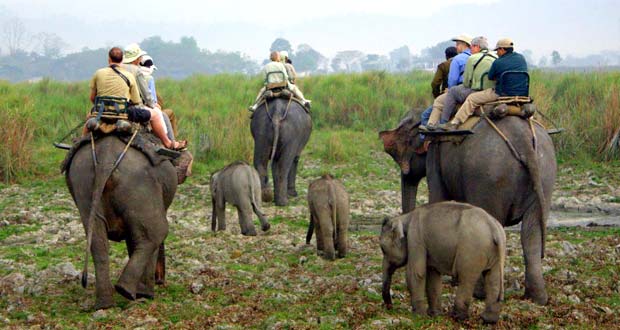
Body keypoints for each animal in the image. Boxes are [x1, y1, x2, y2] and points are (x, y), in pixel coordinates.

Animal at [65, 135, 176, 310]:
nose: (160, 280)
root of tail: (105, 158)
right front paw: (146, 294)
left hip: (83, 183)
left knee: (98, 243)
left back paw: (105, 304)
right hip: (140, 186)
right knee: (157, 232)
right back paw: (127, 291)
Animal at [378, 109, 556, 306]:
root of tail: (523, 141)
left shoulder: (434, 157)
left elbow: (438, 197)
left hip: (489, 179)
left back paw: (480, 293)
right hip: (545, 175)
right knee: (531, 234)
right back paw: (537, 298)